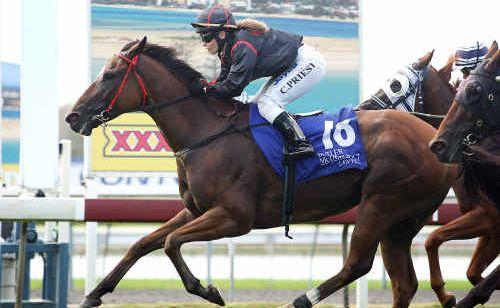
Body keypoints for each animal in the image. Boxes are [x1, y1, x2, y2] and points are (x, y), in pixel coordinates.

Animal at [67, 36, 458, 308]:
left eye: (110, 75)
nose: (73, 116)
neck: (207, 131)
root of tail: (432, 135)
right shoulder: (197, 209)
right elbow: (143, 242)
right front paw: (94, 293)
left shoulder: (235, 217)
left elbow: (170, 242)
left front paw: (208, 290)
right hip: (402, 221)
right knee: (403, 283)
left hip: (381, 203)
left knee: (358, 264)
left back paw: (297, 300)